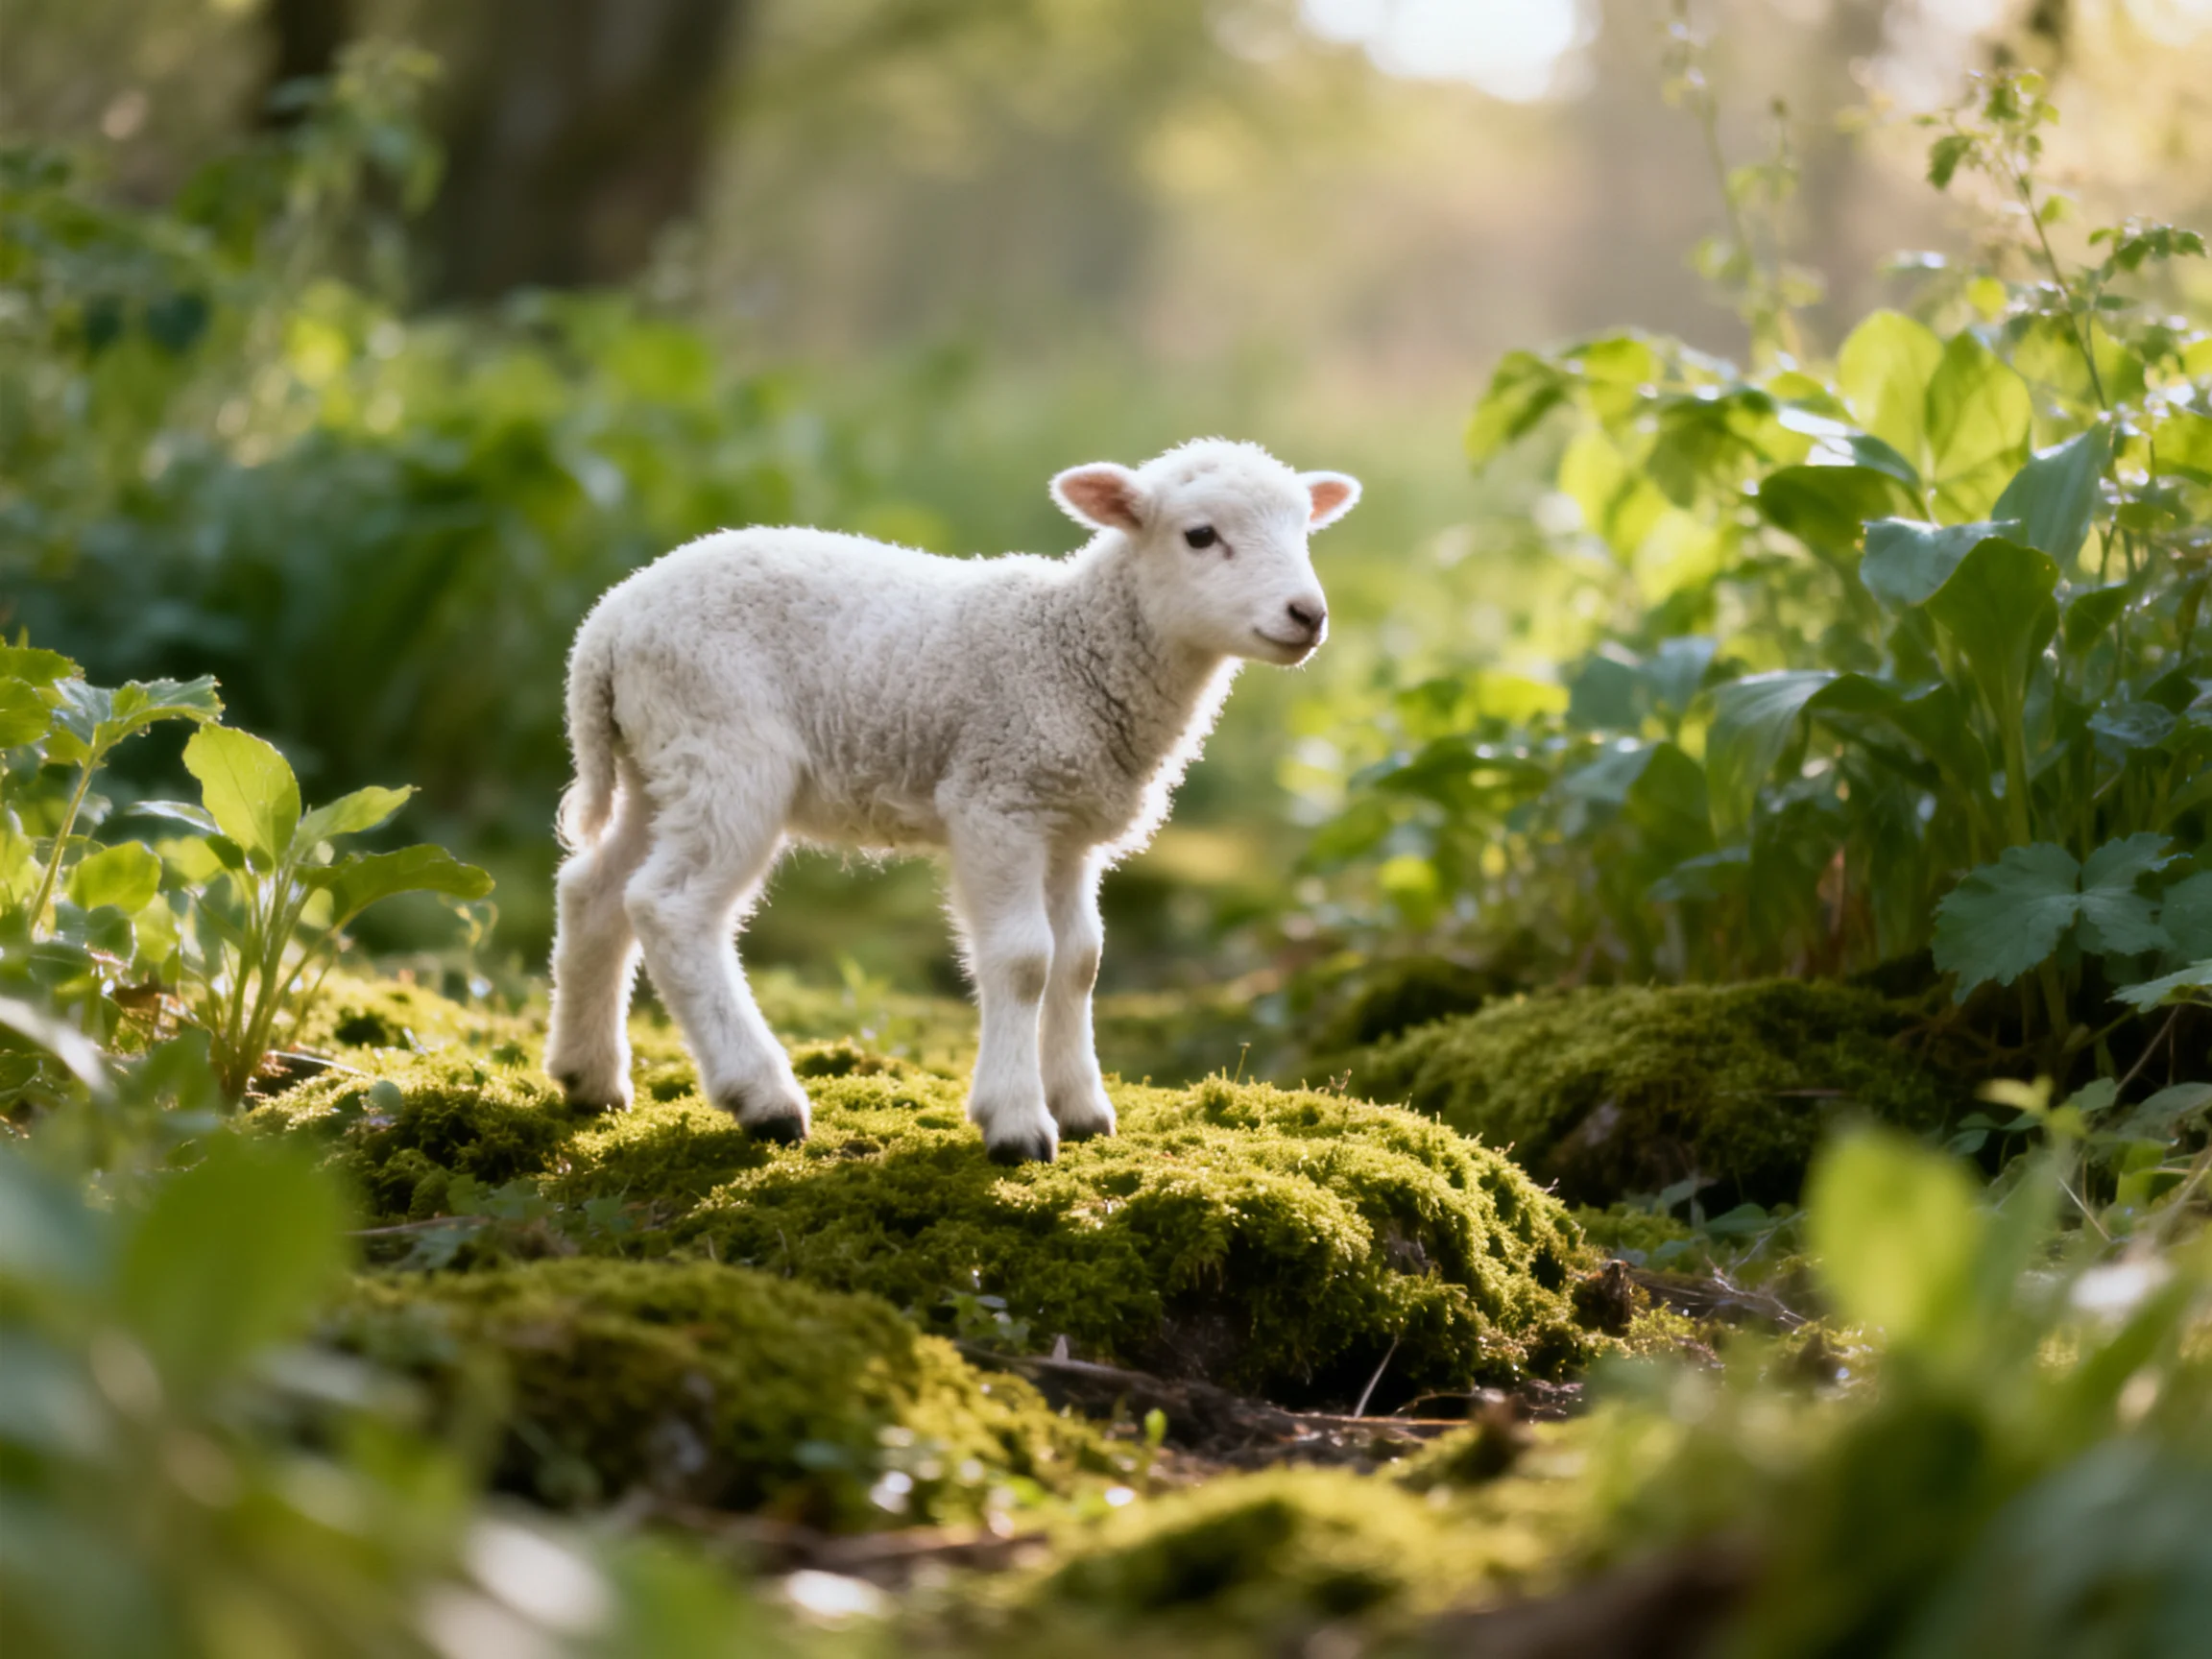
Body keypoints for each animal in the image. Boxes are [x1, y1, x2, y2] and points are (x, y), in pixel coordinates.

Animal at [543, 437, 1361, 1163]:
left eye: (1304, 530)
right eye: (1200, 535)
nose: (1309, 614)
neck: (1077, 649)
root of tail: (605, 625)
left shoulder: (1066, 825)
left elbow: (1081, 960)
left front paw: (1083, 1108)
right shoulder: (998, 802)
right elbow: (1025, 960)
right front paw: (1018, 1123)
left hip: (659, 763)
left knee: (595, 890)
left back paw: (589, 1078)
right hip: (726, 751)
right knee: (671, 908)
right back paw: (763, 1097)